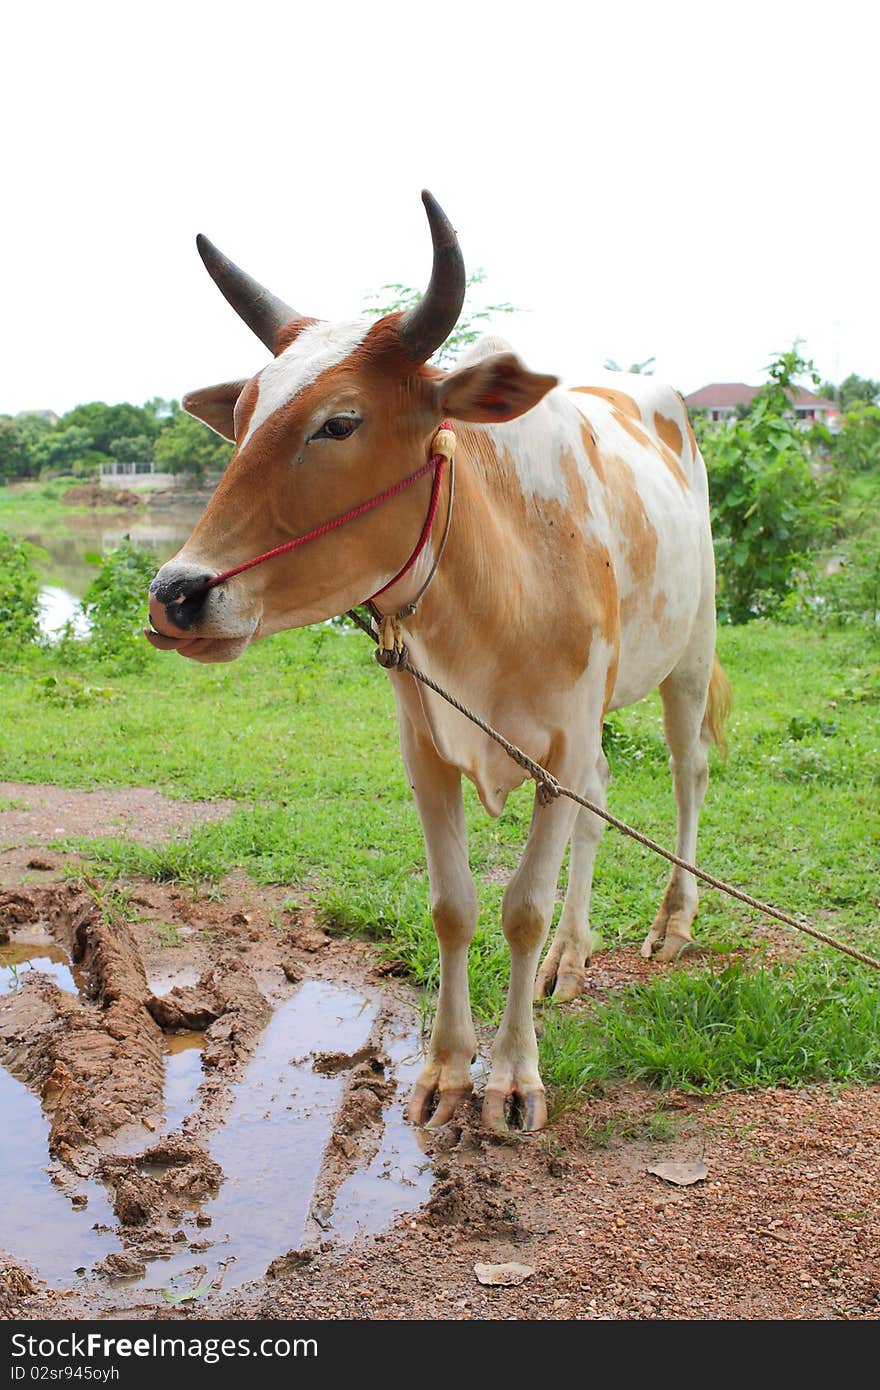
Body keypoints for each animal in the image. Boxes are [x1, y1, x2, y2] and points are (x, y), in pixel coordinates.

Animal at [147, 190, 728, 1134]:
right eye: (239, 422)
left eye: (339, 422)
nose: (177, 594)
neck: (498, 585)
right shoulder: (427, 746)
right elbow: (453, 906)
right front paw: (448, 1069)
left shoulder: (559, 743)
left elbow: (520, 910)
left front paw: (513, 1076)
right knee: (602, 802)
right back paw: (574, 955)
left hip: (691, 649)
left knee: (688, 773)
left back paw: (673, 921)